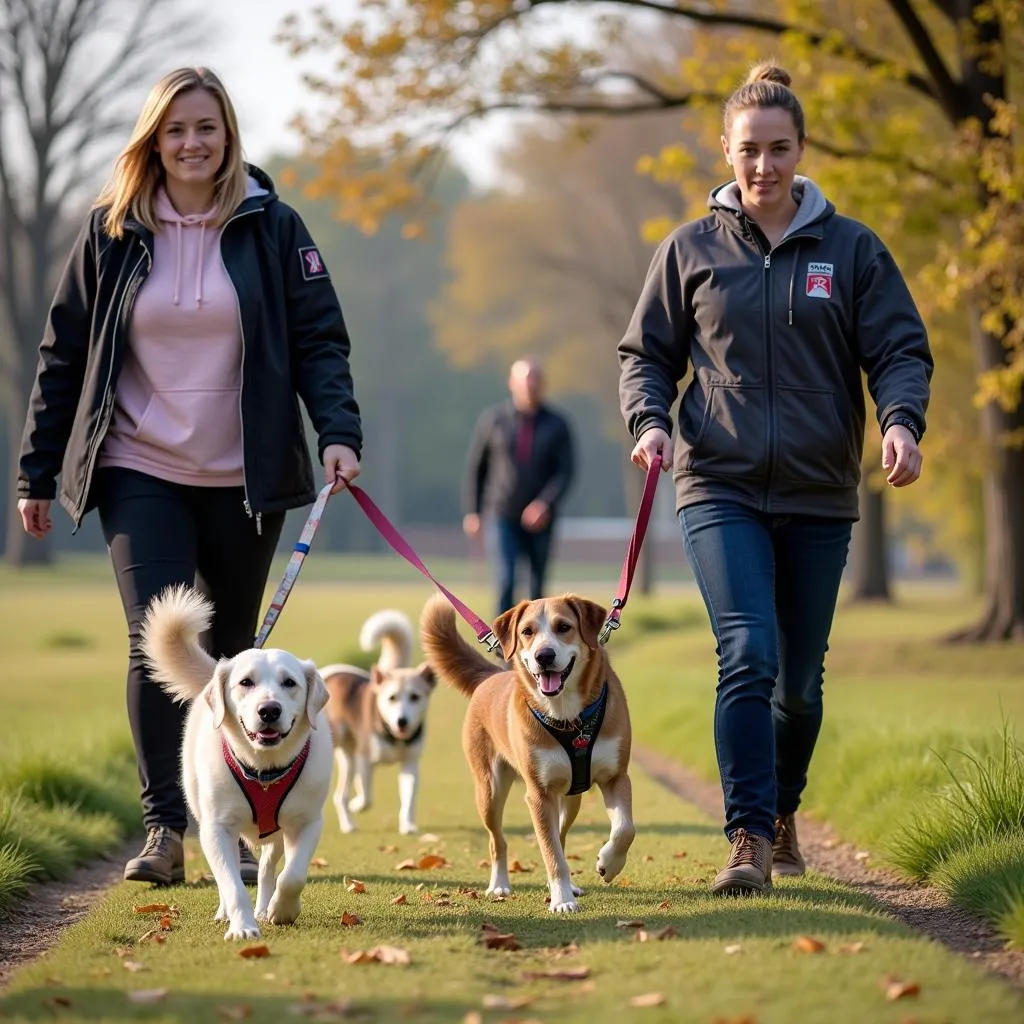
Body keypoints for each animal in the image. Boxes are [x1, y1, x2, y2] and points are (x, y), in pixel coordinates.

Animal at [140, 589, 329, 937]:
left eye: (290, 683)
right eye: (246, 683)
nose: (269, 710)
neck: (264, 769)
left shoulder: (307, 822)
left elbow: (292, 876)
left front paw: (283, 910)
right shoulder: (217, 828)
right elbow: (231, 884)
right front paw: (242, 926)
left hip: (275, 834)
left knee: (267, 869)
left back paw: (265, 907)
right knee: (227, 879)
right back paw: (226, 912)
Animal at [323, 606, 436, 831]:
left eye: (415, 697)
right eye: (392, 697)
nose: (402, 721)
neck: (394, 736)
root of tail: (328, 673)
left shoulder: (410, 764)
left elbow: (409, 798)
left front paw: (407, 825)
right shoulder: (365, 759)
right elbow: (367, 797)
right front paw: (358, 804)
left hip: (349, 758)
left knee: (340, 796)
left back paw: (348, 823)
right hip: (342, 746)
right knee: (341, 795)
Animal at [417, 589, 630, 917]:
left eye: (563, 627)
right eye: (527, 632)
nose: (544, 656)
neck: (567, 715)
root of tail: (492, 676)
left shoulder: (616, 777)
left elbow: (624, 829)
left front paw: (609, 863)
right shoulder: (539, 794)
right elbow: (551, 853)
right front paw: (562, 900)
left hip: (571, 799)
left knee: (561, 835)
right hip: (490, 791)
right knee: (499, 842)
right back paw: (500, 885)